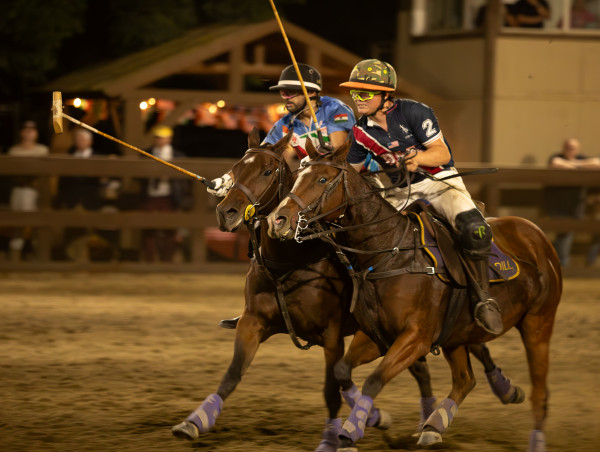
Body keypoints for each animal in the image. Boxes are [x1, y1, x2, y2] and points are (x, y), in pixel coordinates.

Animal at [172, 129, 524, 450]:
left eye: (267, 171)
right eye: (235, 168)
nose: (227, 212)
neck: (289, 262)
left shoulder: (332, 332)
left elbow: (332, 388)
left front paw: (337, 436)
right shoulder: (253, 321)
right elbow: (233, 373)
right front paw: (194, 421)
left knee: (476, 346)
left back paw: (504, 388)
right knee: (425, 367)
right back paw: (427, 419)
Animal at [268, 141, 564, 452]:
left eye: (322, 179)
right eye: (297, 177)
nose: (279, 220)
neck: (388, 253)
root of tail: (538, 235)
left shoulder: (416, 337)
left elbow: (374, 379)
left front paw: (351, 430)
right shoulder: (375, 335)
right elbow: (341, 371)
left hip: (538, 326)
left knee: (539, 392)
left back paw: (534, 438)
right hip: (456, 335)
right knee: (465, 380)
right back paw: (435, 425)